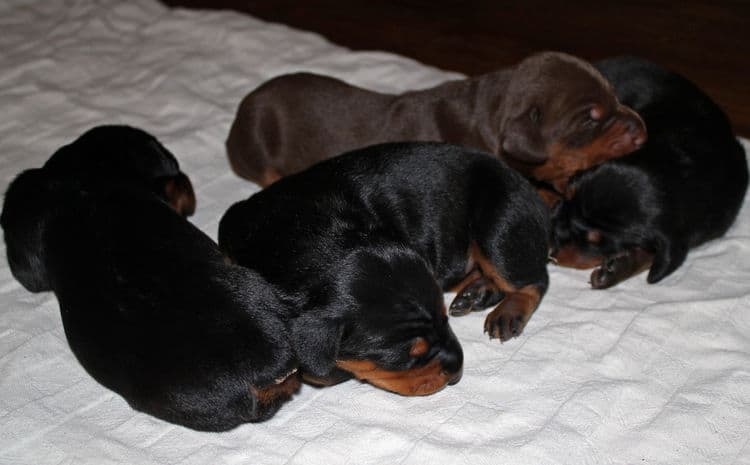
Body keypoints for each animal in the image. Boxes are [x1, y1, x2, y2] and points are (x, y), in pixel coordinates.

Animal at [220, 141, 548, 392]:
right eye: (406, 356)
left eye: (445, 321)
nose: (459, 367)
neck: (302, 238)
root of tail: (534, 194)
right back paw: (477, 293)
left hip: (498, 222)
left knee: (533, 279)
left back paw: (508, 312)